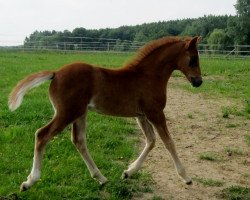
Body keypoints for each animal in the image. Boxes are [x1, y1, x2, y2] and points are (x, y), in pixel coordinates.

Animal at [8, 36, 203, 191]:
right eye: (193, 59)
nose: (198, 82)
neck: (148, 76)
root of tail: (55, 74)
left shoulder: (141, 115)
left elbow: (151, 141)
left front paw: (128, 172)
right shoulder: (155, 113)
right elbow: (168, 142)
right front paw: (186, 177)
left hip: (79, 113)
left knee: (79, 140)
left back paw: (100, 178)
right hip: (67, 113)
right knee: (42, 135)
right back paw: (29, 182)